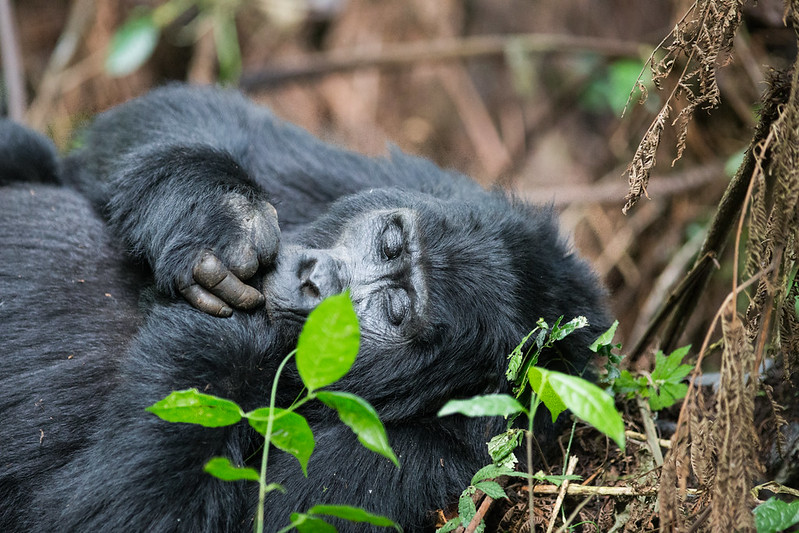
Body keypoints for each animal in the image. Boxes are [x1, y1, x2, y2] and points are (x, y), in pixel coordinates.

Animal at [0, 85, 608, 528]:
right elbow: (192, 116)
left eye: (394, 311)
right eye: (389, 241)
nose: (314, 279)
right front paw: (212, 213)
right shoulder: (415, 183)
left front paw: (233, 344)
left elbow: (124, 516)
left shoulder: (425, 462)